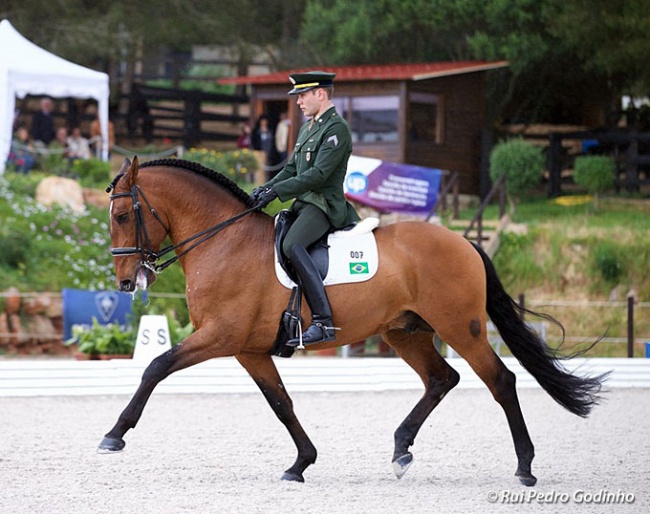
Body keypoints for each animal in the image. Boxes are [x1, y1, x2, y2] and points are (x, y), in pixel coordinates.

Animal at [98, 156, 604, 484]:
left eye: (122, 214)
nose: (125, 281)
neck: (224, 241)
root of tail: (463, 241)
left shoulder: (220, 336)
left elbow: (155, 367)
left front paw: (114, 435)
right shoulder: (248, 349)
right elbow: (281, 403)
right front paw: (301, 463)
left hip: (460, 328)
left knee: (500, 381)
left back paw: (525, 467)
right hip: (405, 333)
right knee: (442, 379)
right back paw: (401, 450)